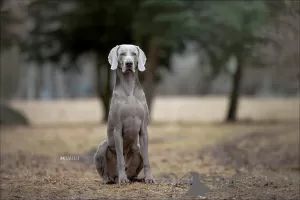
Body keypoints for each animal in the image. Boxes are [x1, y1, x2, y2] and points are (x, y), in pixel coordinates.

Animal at [94, 43, 156, 184]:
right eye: (122, 54)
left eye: (133, 54)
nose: (129, 63)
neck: (129, 89)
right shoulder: (117, 129)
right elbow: (120, 159)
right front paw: (123, 180)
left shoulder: (144, 130)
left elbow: (147, 159)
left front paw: (149, 178)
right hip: (103, 146)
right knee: (105, 171)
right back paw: (111, 179)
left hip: (137, 149)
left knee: (136, 165)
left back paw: (136, 178)